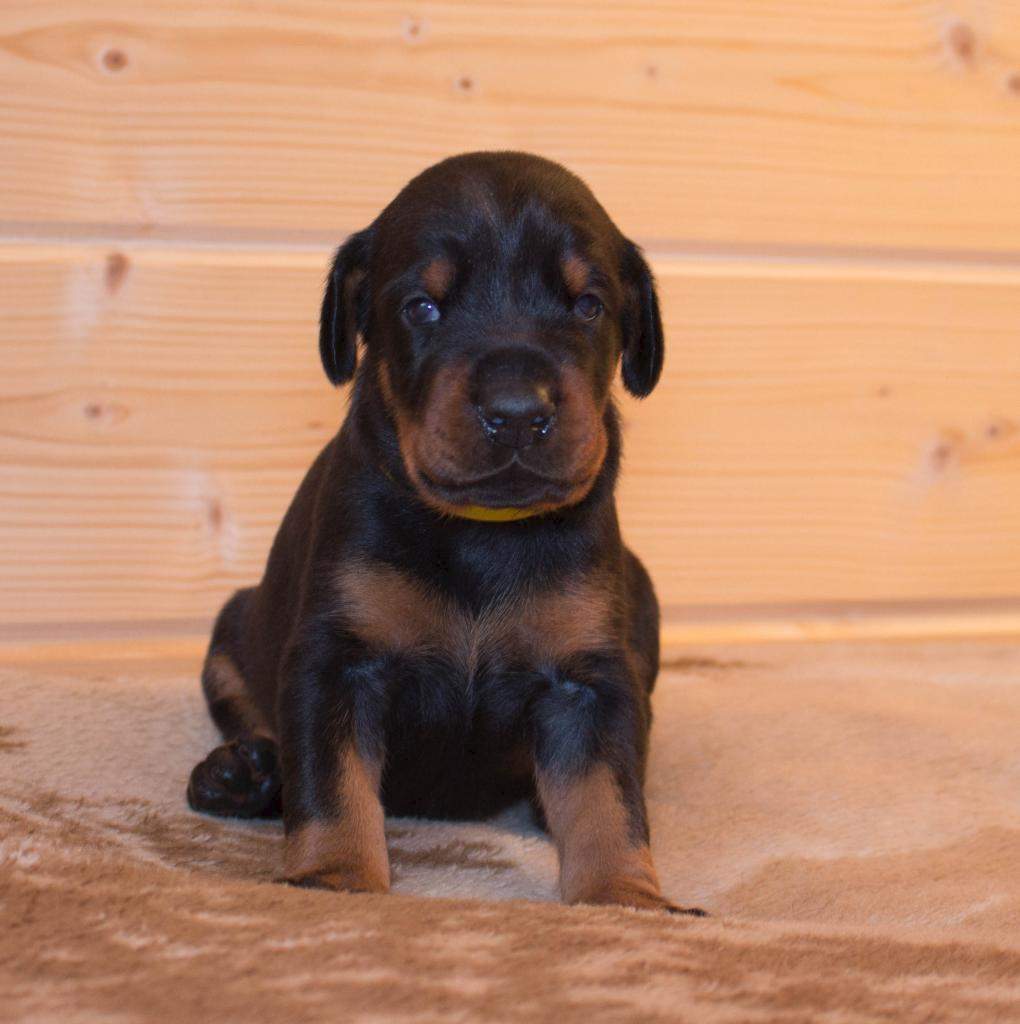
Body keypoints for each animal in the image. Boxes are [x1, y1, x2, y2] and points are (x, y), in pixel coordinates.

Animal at [187, 151, 702, 915]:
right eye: (421, 308)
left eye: (588, 306)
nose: (517, 412)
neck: (480, 530)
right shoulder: (336, 661)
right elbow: (331, 785)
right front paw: (336, 879)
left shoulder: (588, 682)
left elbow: (608, 800)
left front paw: (623, 898)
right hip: (233, 625)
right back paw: (243, 774)